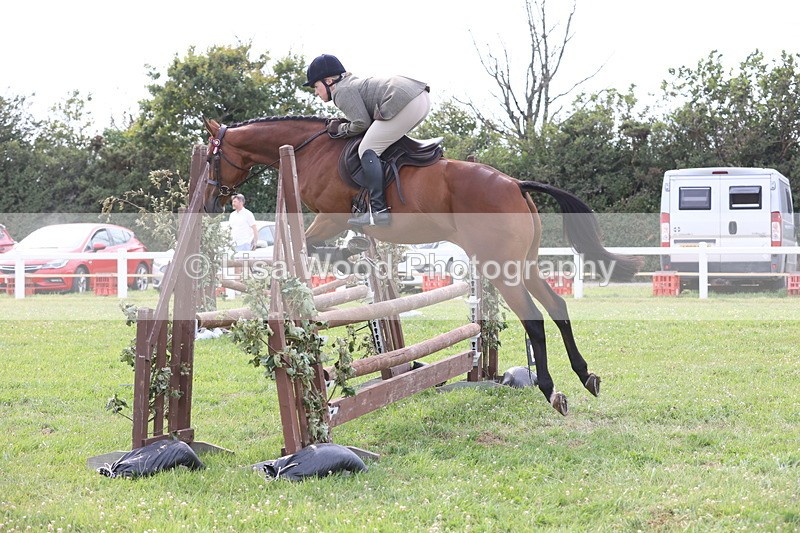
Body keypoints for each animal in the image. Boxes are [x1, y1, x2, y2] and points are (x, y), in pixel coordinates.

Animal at [202, 115, 642, 415]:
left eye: (211, 157)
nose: (207, 204)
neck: (309, 148)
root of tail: (515, 184)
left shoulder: (330, 216)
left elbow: (312, 244)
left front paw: (345, 254)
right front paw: (355, 252)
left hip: (501, 266)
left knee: (534, 318)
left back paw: (551, 390)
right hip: (523, 263)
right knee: (558, 307)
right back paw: (586, 376)